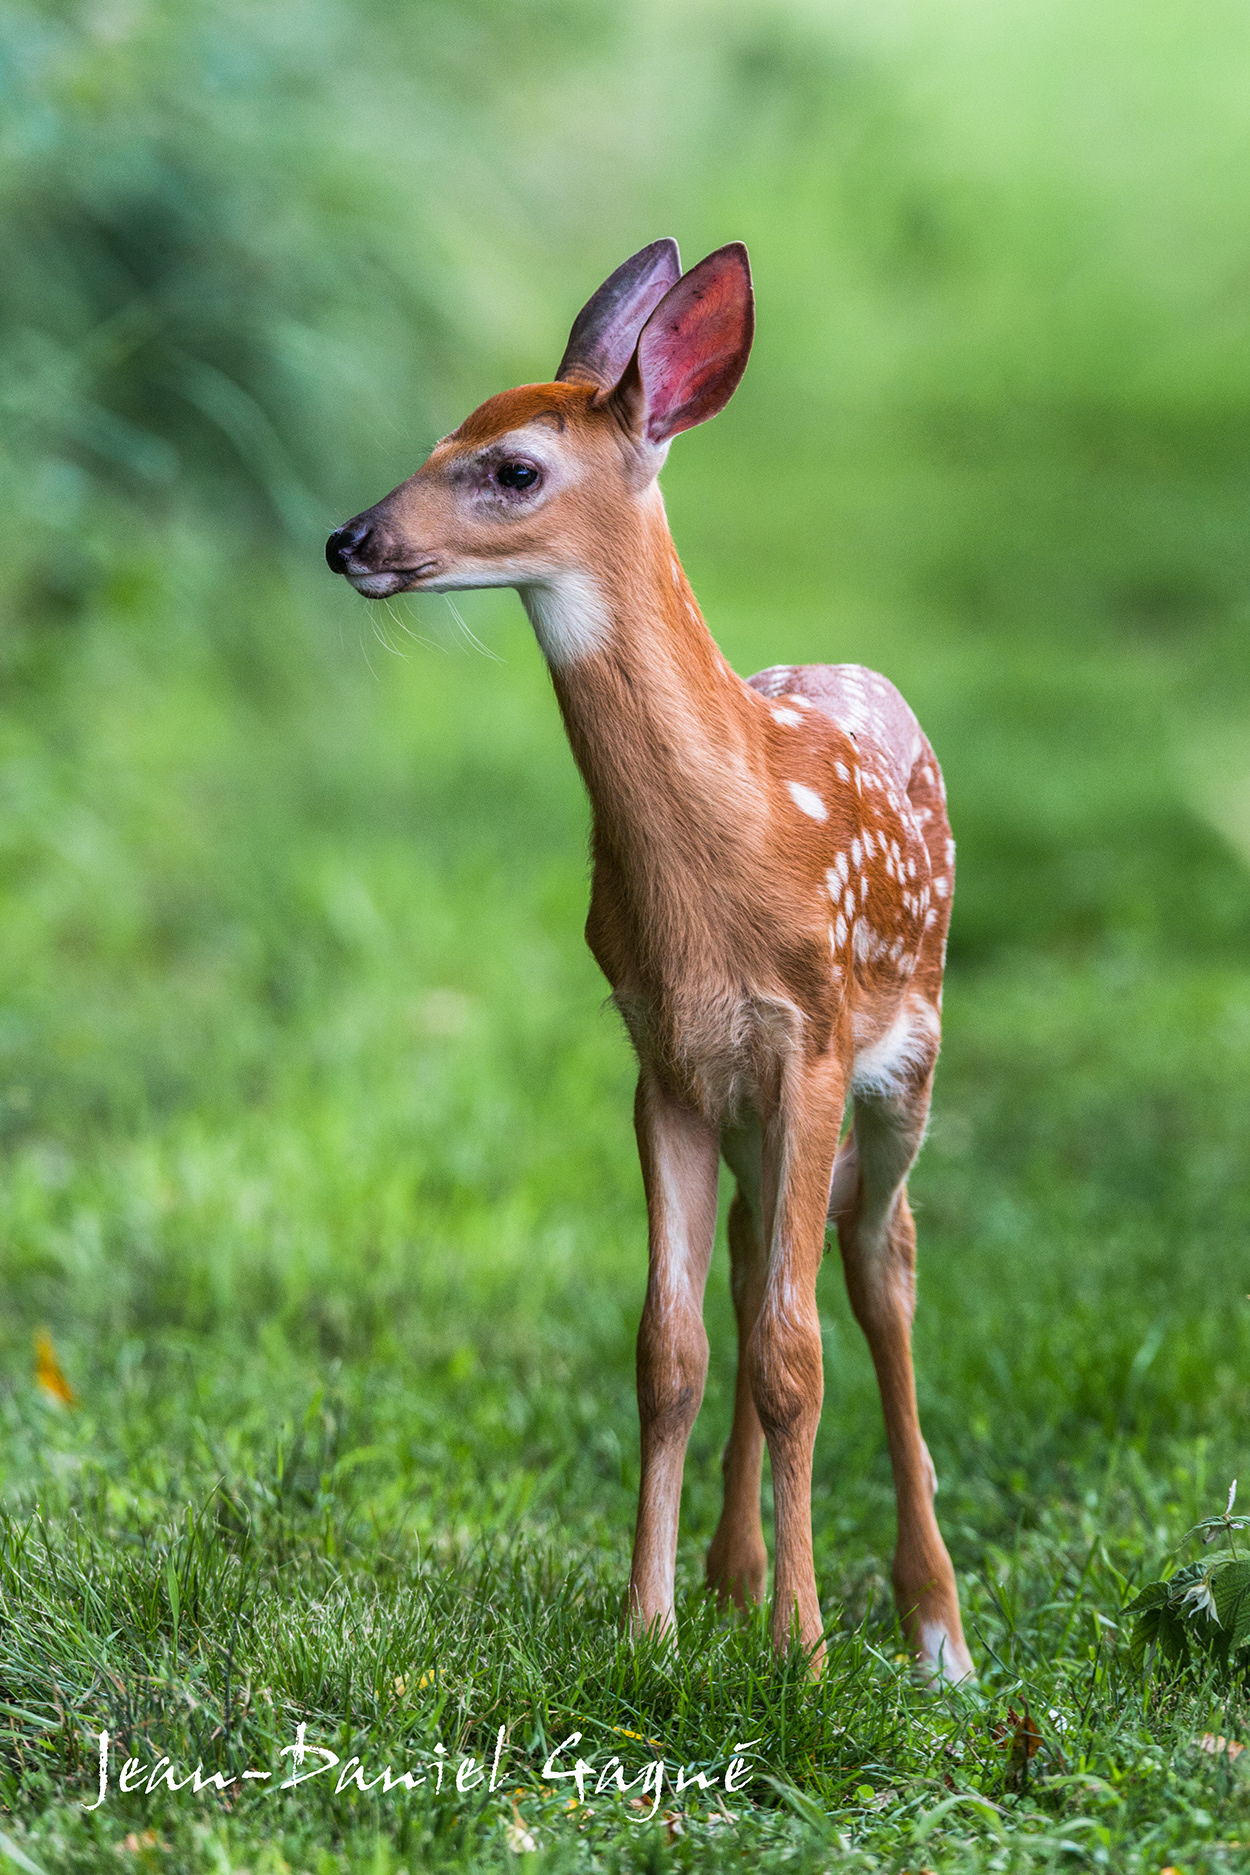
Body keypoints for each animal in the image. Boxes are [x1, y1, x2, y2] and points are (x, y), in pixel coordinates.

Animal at [325, 239, 974, 1683]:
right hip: (742, 1105)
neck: (726, 854)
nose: (349, 540)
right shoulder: (663, 1053)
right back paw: (735, 1577)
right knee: (751, 1252)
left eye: (510, 468)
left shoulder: (808, 1034)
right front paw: (650, 1622)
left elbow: (795, 1355)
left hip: (904, 1055)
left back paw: (933, 1628)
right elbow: (668, 1348)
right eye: (438, 433)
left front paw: (803, 1651)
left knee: (878, 1259)